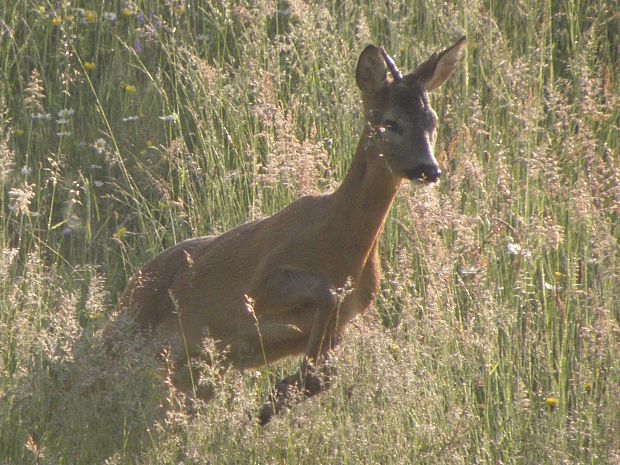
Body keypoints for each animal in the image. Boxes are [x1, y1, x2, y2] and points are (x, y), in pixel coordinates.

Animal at [106, 38, 464, 424]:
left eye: (432, 121)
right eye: (390, 123)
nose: (429, 168)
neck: (341, 247)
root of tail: (132, 283)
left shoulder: (344, 319)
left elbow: (324, 373)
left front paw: (275, 400)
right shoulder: (260, 285)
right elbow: (325, 297)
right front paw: (269, 403)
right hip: (132, 332)